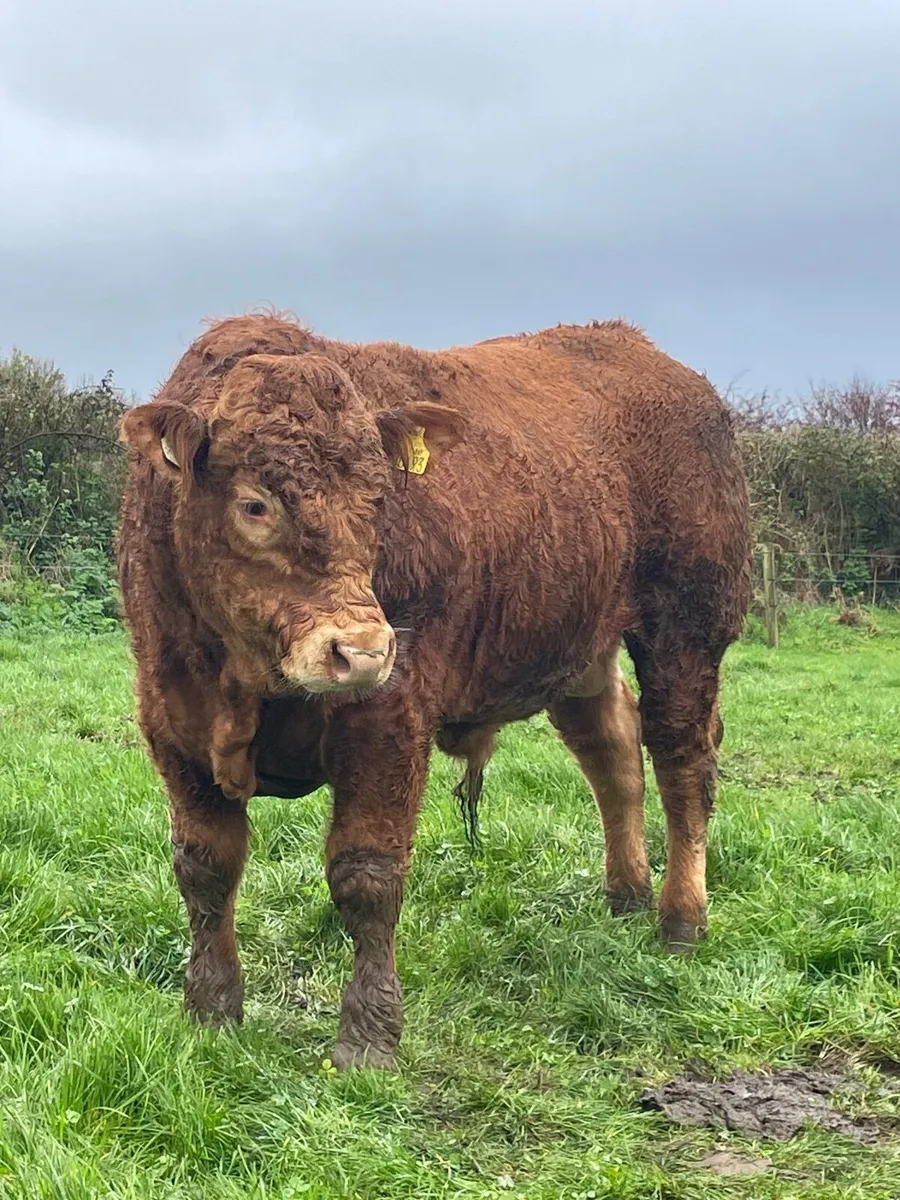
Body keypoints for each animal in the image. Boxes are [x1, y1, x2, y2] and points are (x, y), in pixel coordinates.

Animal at [117, 313, 751, 1070]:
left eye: (378, 501)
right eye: (254, 504)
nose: (362, 649)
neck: (243, 686)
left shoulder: (389, 719)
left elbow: (366, 874)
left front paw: (368, 1038)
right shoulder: (173, 722)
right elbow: (206, 867)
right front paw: (211, 1011)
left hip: (687, 629)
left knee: (683, 764)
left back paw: (681, 919)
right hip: (581, 647)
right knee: (614, 756)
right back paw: (626, 896)